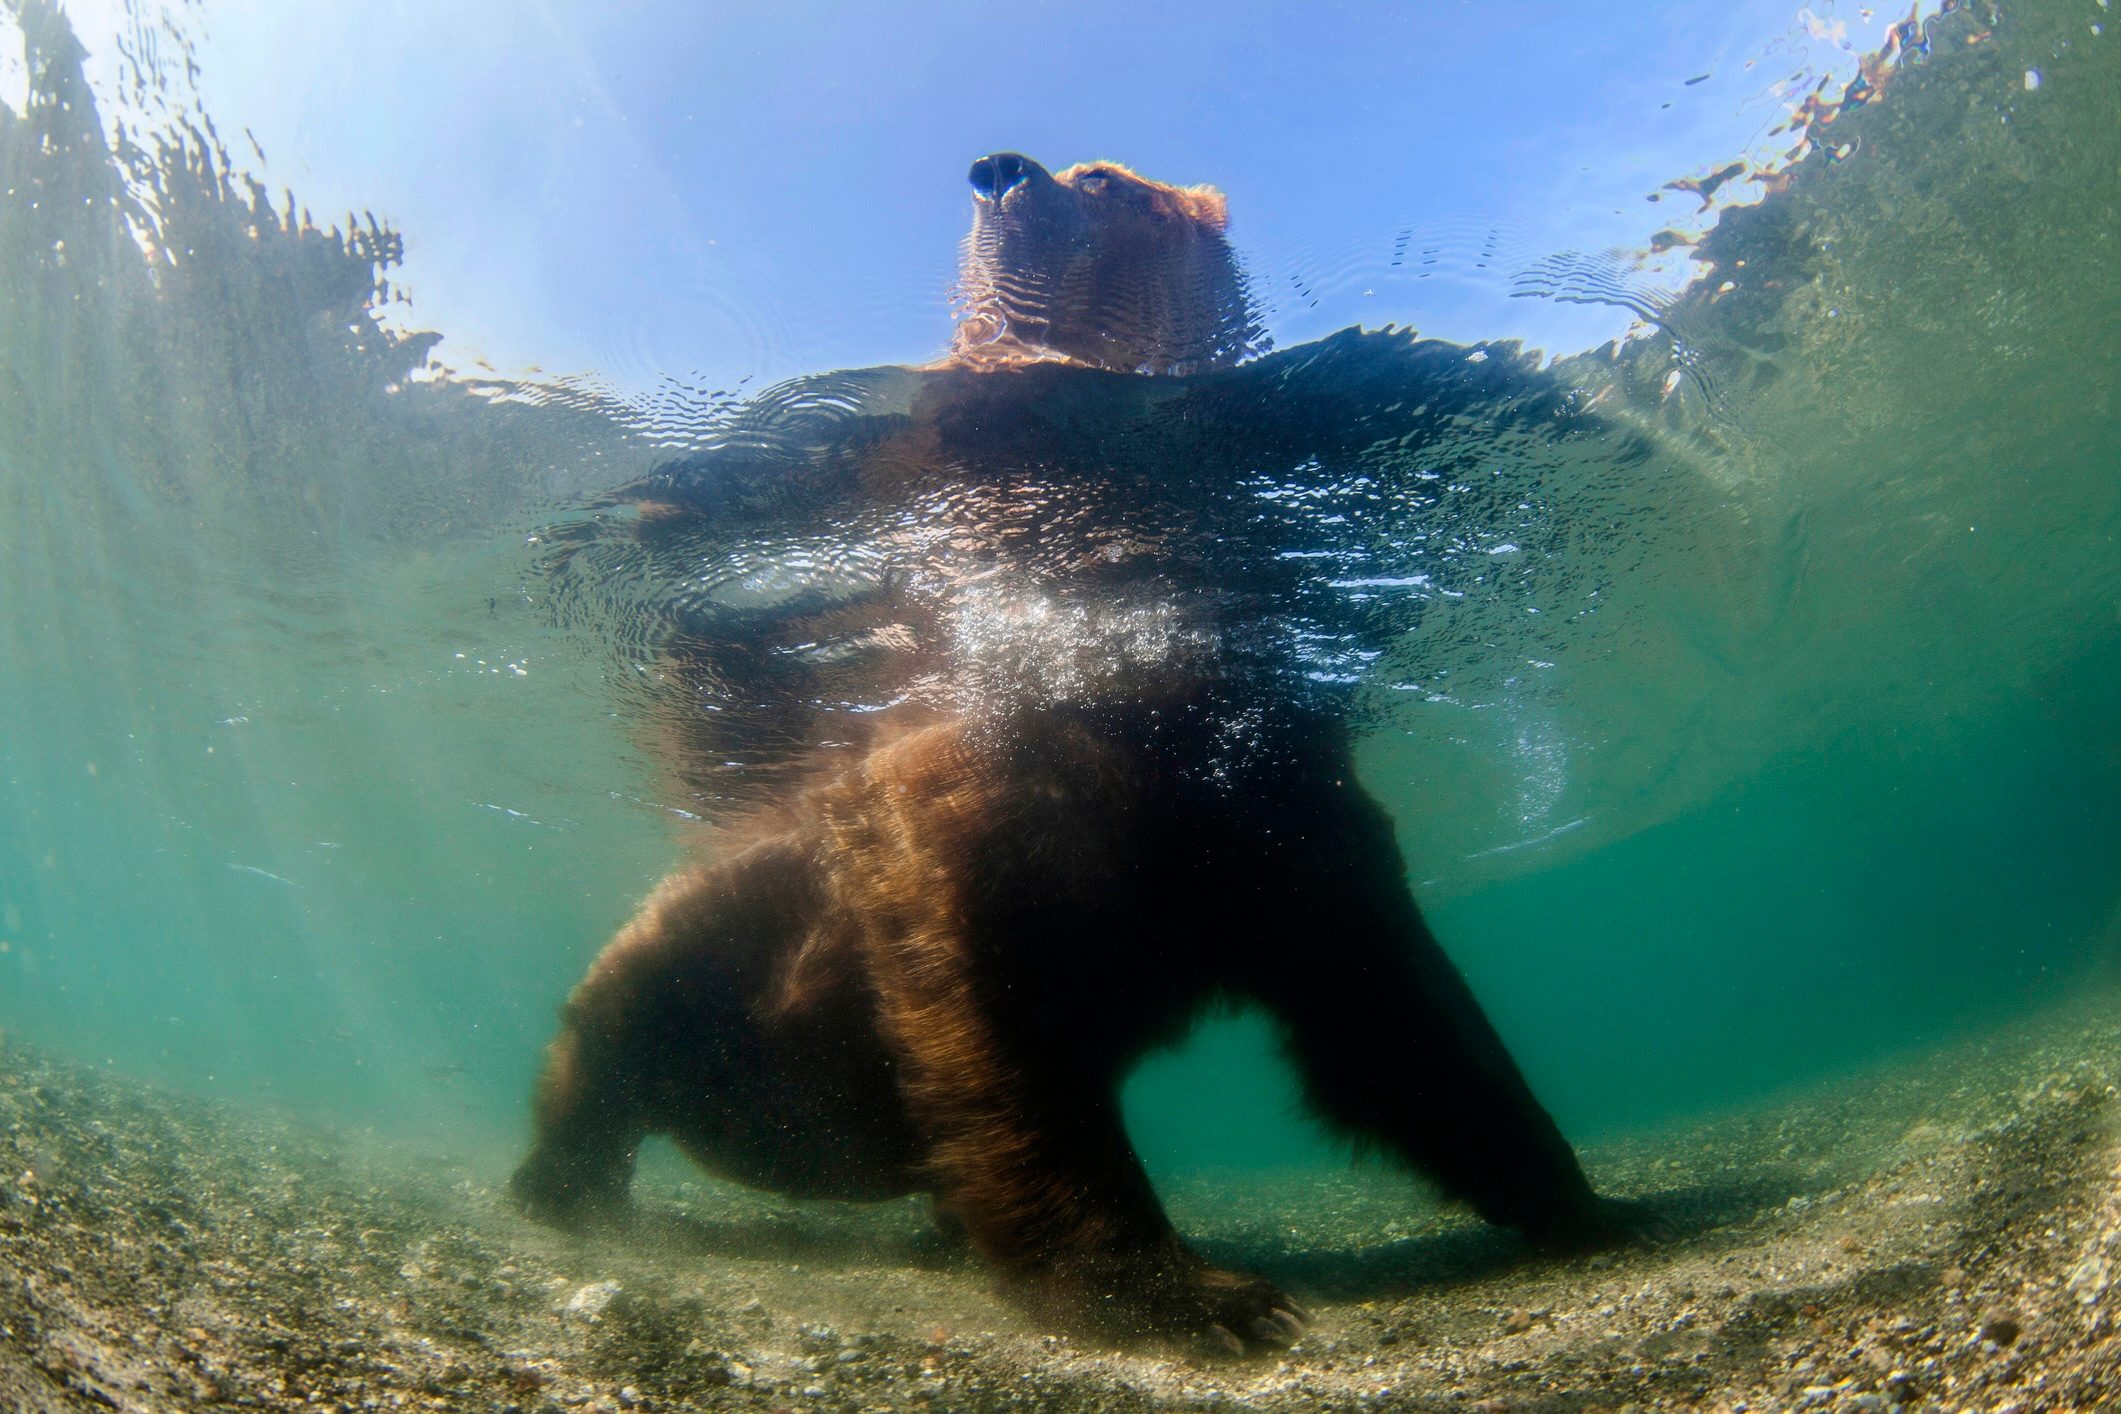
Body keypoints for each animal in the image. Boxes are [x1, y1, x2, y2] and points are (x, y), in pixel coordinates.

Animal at [513, 153, 1656, 1354]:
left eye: (1107, 179)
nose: (1000, 172)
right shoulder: (968, 808)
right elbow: (1000, 1021)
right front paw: (1195, 1293)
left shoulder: (1279, 809)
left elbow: (1396, 1008)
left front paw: (1585, 1199)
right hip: (710, 923)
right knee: (606, 1032)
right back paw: (566, 1185)